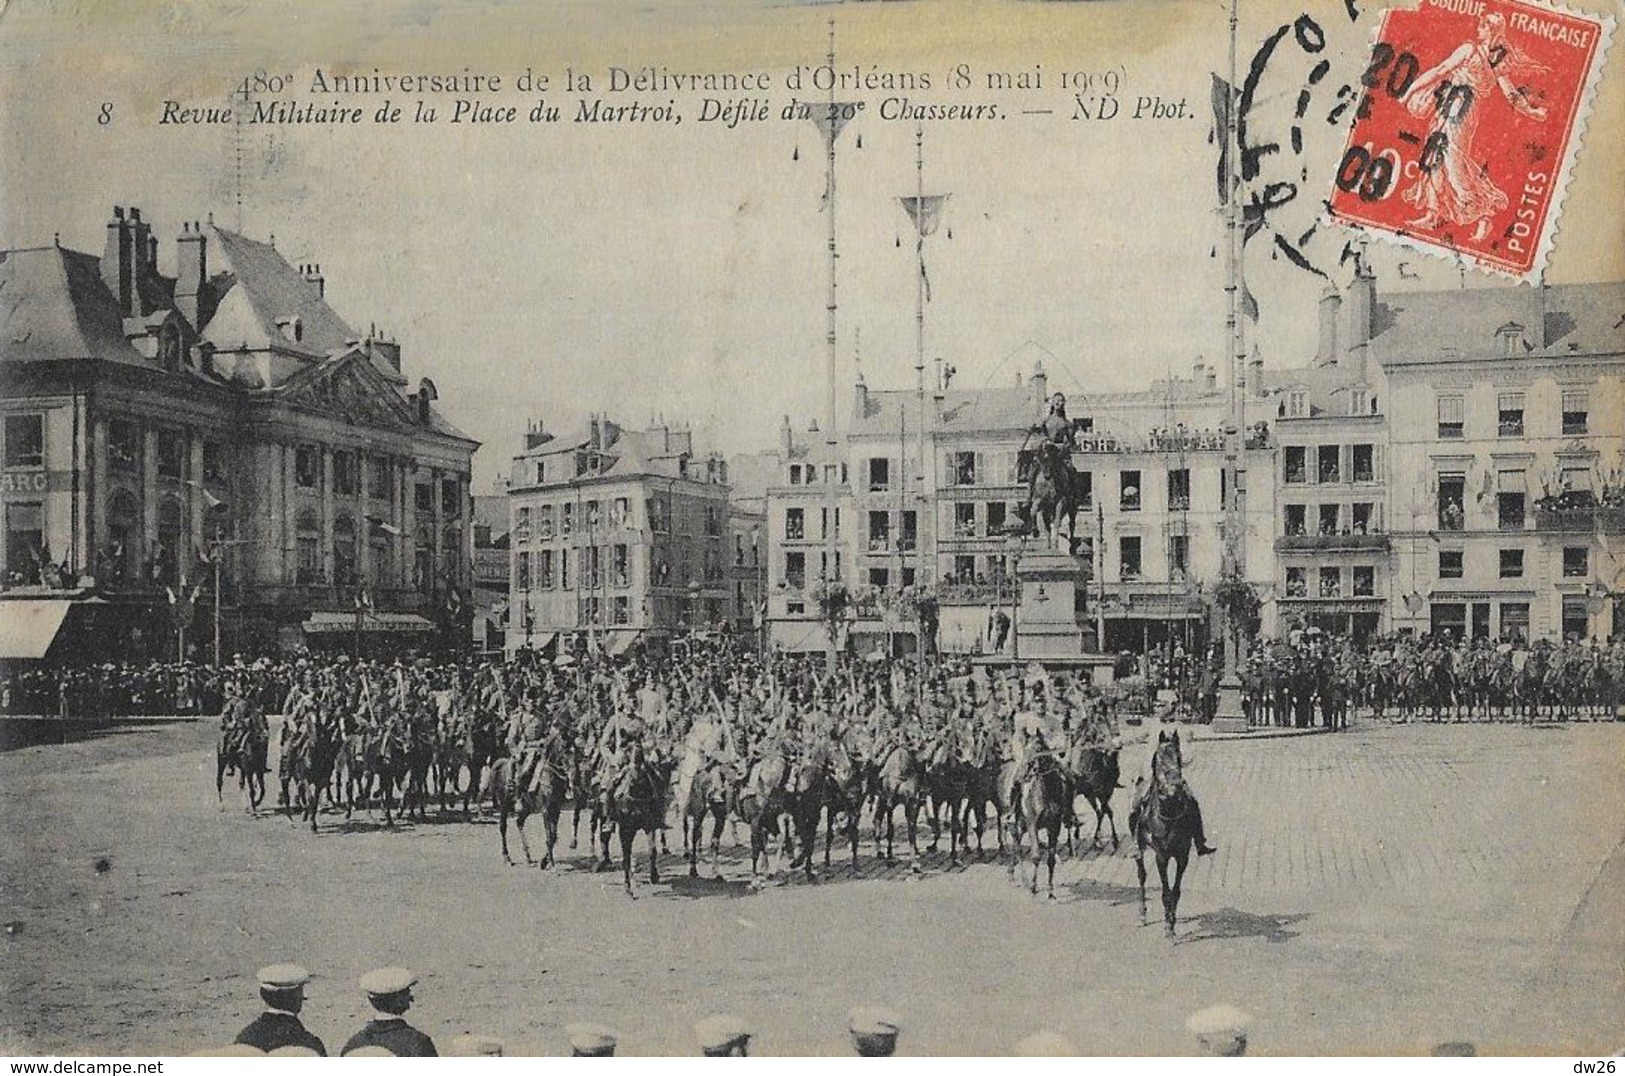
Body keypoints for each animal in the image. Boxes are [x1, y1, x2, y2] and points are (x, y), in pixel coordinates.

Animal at [1137, 728, 1202, 942]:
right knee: (1141, 876)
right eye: (1159, 758)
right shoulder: (1162, 857)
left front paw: (1172, 922)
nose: (1175, 786)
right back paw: (1142, 914)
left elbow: (1176, 891)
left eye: (1179, 756)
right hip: (1140, 849)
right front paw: (1168, 927)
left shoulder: (1183, 856)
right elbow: (1166, 892)